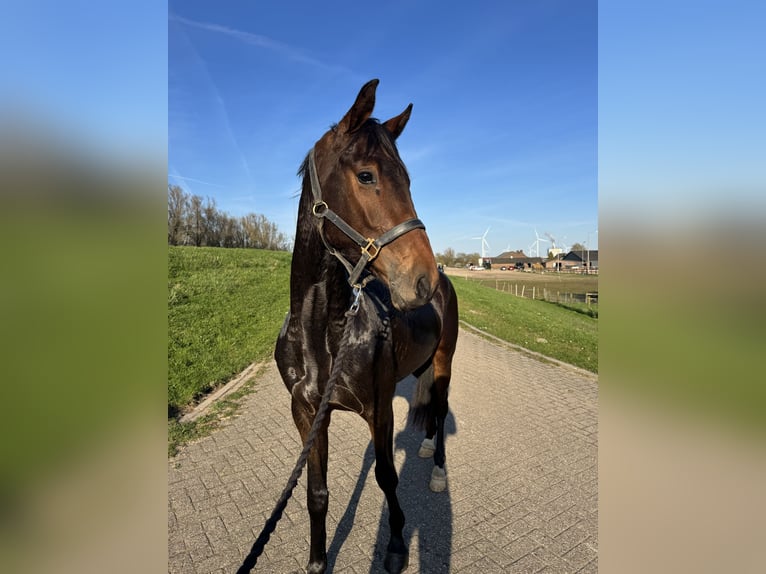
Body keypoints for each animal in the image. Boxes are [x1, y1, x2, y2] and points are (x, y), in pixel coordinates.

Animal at [274, 79, 458, 574]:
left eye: (408, 180)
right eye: (367, 176)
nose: (421, 279)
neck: (324, 336)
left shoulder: (379, 409)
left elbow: (386, 477)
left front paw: (395, 545)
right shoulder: (307, 414)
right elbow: (317, 493)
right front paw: (317, 562)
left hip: (445, 361)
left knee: (439, 410)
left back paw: (437, 469)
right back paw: (426, 448)